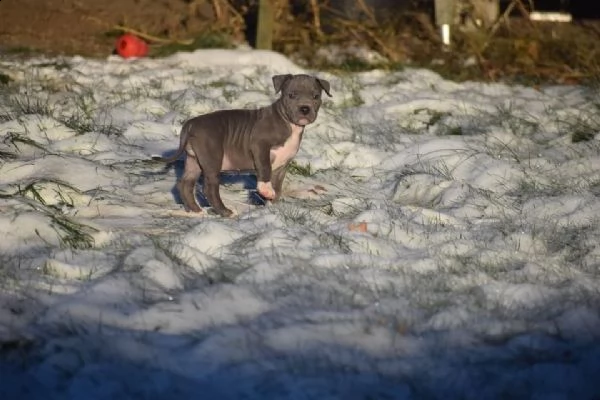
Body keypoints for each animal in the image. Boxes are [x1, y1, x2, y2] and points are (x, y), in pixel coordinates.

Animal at [164, 73, 330, 217]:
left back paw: (196, 211)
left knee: (185, 184)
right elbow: (265, 168)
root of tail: (191, 124)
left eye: (316, 96)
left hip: (194, 160)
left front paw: (272, 207)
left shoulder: (282, 166)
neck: (289, 124)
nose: (305, 109)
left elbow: (277, 187)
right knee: (209, 188)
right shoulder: (260, 145)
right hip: (212, 158)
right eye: (291, 95)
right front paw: (265, 190)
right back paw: (226, 212)